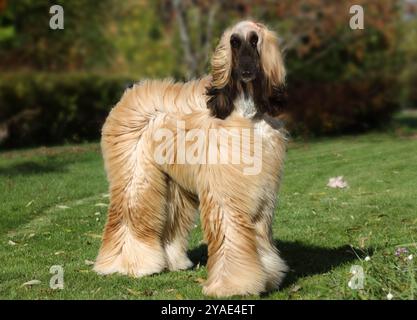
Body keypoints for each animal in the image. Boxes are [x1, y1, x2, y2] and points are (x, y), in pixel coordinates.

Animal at [93, 20, 290, 296]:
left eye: (255, 40)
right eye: (234, 42)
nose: (247, 70)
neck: (246, 112)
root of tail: (130, 93)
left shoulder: (261, 189)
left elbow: (260, 234)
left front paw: (268, 277)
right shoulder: (226, 191)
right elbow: (231, 234)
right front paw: (234, 284)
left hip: (173, 180)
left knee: (171, 217)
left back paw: (171, 261)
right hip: (135, 171)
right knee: (130, 210)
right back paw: (130, 264)